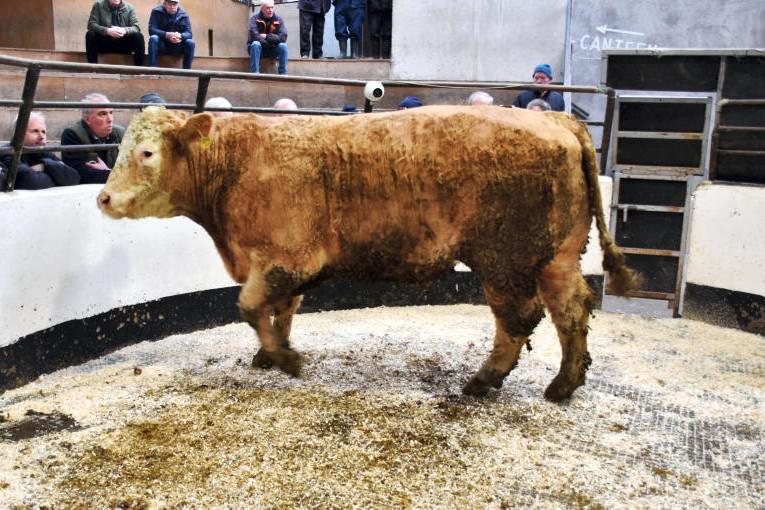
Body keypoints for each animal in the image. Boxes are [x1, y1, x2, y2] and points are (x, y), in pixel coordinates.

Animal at [97, 105, 639, 401]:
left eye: (147, 153)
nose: (103, 199)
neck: (238, 163)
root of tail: (555, 119)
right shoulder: (279, 265)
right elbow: (281, 310)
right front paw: (270, 353)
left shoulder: (286, 258)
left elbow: (250, 306)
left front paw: (286, 360)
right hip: (556, 256)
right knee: (571, 309)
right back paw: (564, 384)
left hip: (504, 259)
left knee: (519, 317)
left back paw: (484, 380)